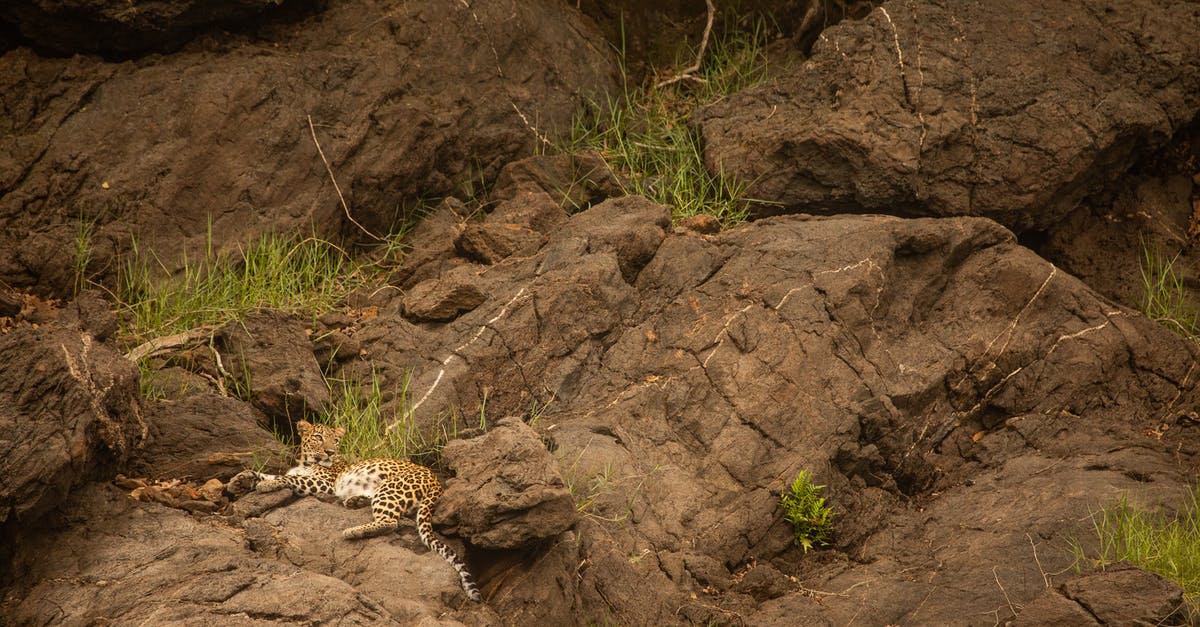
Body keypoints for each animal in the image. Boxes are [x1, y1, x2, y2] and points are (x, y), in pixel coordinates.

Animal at [236, 420, 480, 600]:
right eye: (318, 437)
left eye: (335, 440)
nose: (330, 452)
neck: (306, 462)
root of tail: (437, 482)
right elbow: (271, 474)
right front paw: (241, 479)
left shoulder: (325, 484)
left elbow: (290, 478)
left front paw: (266, 485)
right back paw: (354, 502)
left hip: (390, 488)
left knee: (390, 522)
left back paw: (353, 531)